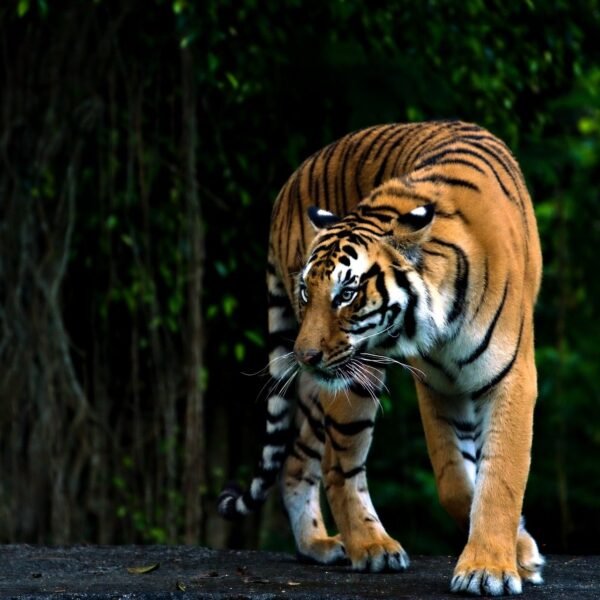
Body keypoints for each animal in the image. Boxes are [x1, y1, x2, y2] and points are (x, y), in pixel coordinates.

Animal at [218, 120, 548, 596]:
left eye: (346, 294)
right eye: (307, 291)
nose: (305, 355)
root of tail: (288, 185)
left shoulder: (509, 377)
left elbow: (499, 475)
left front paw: (493, 566)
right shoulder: (436, 384)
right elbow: (454, 479)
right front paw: (507, 558)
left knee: (298, 459)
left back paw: (316, 545)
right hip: (352, 378)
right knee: (336, 466)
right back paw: (371, 547)